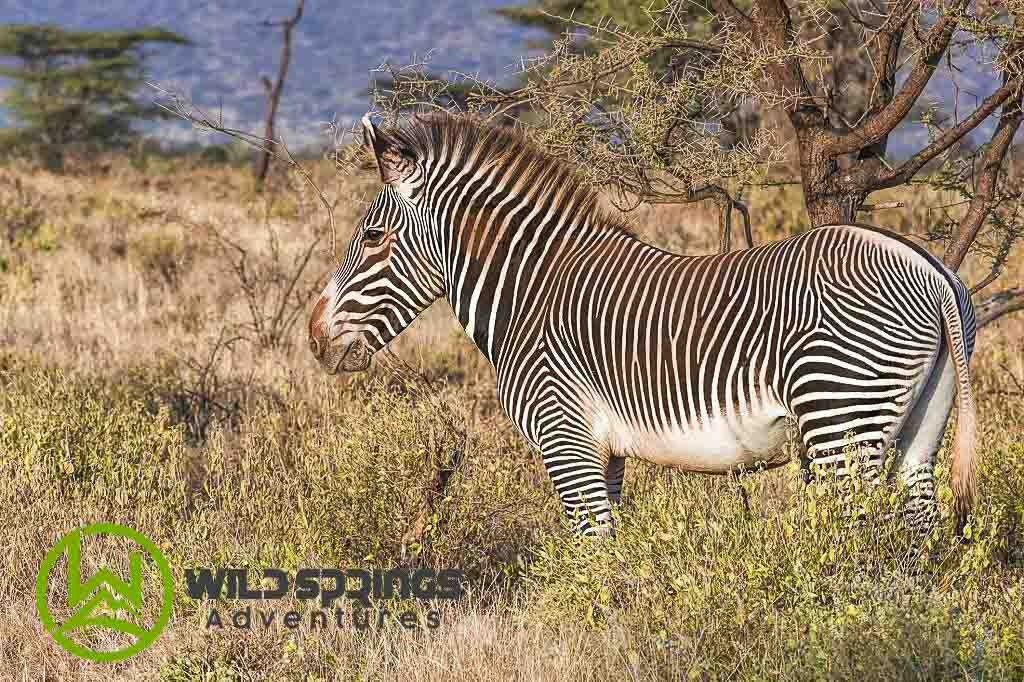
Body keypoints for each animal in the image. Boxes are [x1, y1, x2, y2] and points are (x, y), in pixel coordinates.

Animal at [307, 114, 978, 532]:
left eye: (372, 238)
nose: (315, 339)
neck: (532, 291)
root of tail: (928, 268)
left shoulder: (563, 438)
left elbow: (595, 552)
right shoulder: (603, 452)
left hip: (841, 422)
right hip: (920, 433)